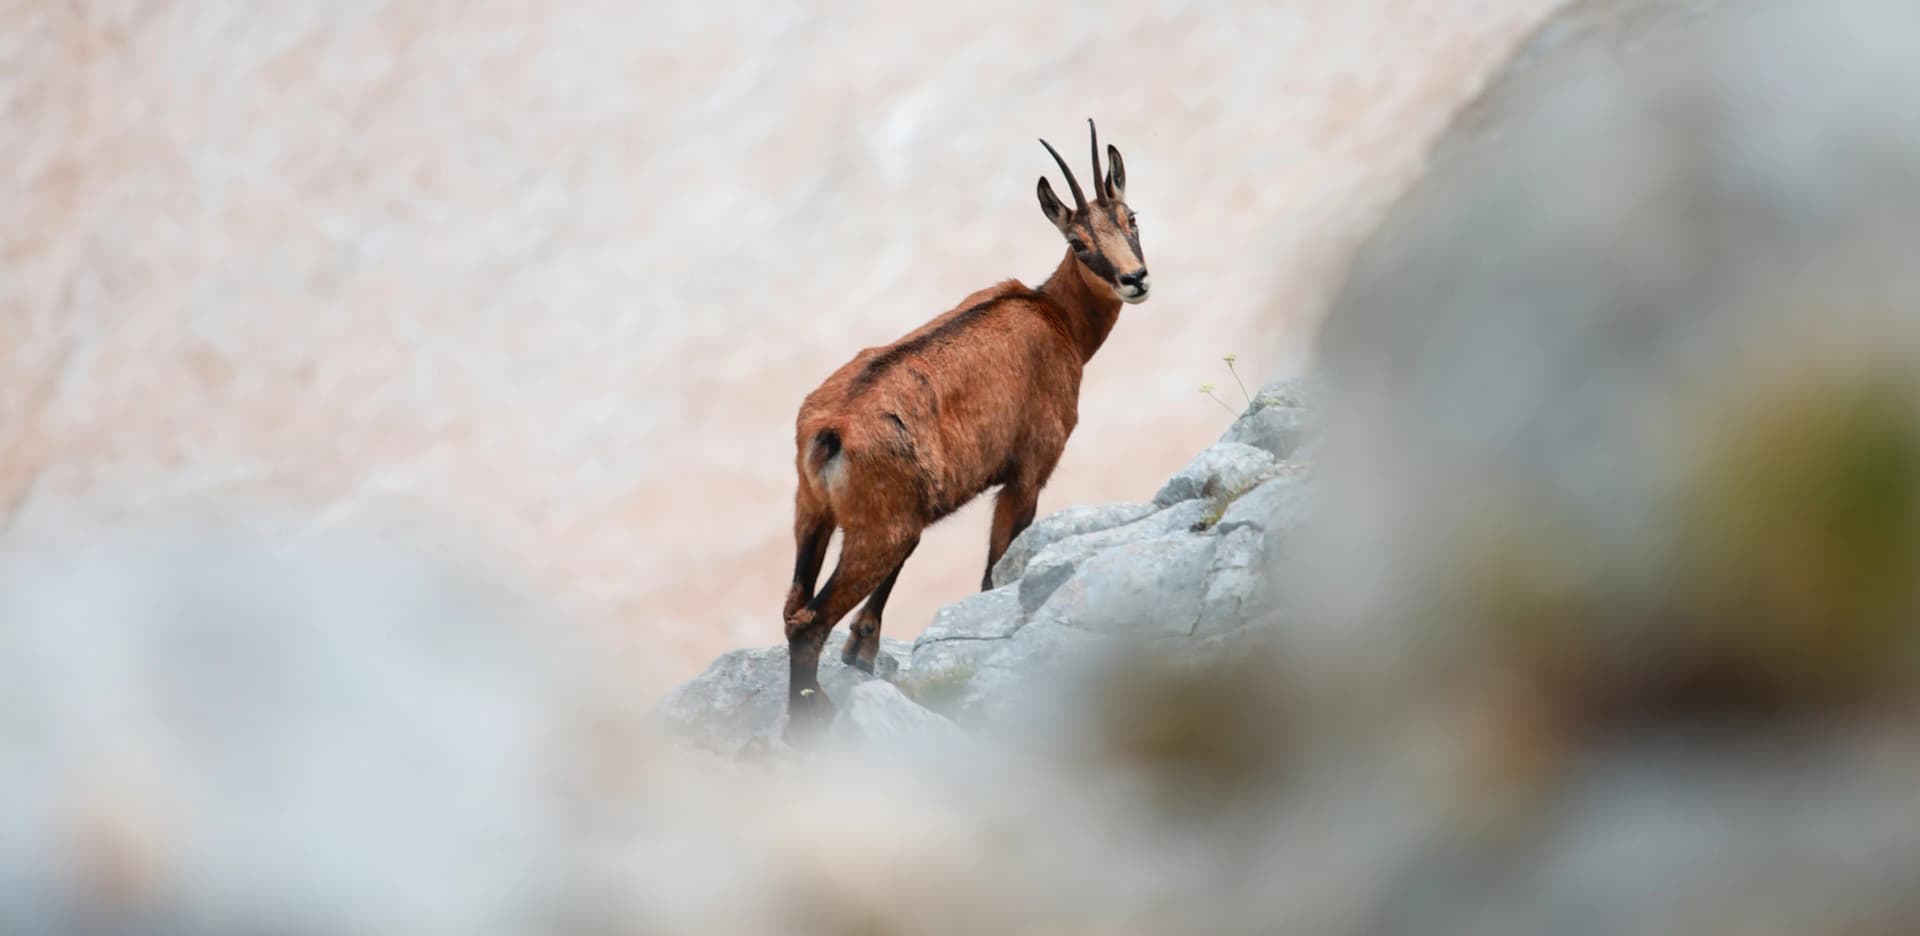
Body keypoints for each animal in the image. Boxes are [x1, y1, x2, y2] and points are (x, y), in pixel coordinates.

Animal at [781, 119, 1151, 732]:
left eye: (1131, 218)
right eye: (1077, 243)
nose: (1134, 278)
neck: (1057, 320)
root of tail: (827, 433)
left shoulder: (921, 505)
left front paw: (863, 649)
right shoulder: (1027, 473)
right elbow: (993, 573)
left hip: (816, 515)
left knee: (793, 607)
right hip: (876, 529)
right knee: (809, 622)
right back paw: (809, 724)